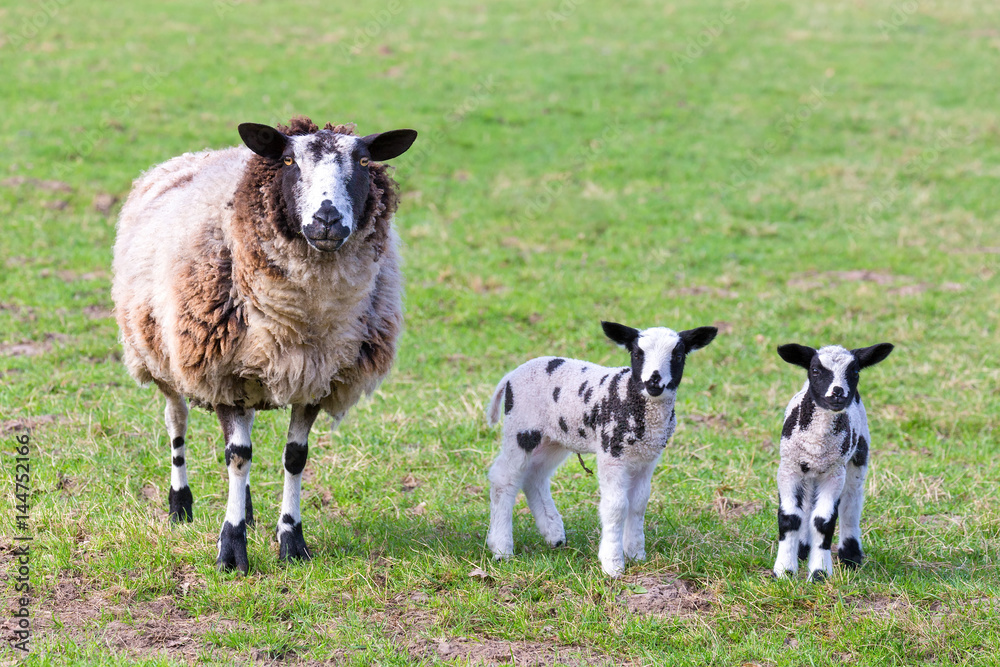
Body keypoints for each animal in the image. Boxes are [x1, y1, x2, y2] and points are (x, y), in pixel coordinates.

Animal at [111, 116, 417, 573]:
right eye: (289, 160)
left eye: (363, 161)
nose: (326, 219)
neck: (304, 319)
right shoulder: (221, 373)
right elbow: (238, 455)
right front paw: (231, 549)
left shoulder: (315, 378)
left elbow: (294, 458)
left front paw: (291, 541)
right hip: (160, 354)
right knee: (177, 424)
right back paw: (180, 505)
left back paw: (250, 509)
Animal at [485, 321, 718, 577]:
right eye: (637, 354)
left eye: (678, 355)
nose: (653, 384)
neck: (632, 399)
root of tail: (510, 376)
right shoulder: (611, 453)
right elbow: (616, 506)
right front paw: (612, 563)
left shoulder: (647, 459)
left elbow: (638, 504)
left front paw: (636, 553)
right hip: (522, 429)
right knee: (504, 478)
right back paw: (501, 548)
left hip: (554, 438)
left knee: (534, 476)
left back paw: (554, 535)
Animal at [772, 342, 894, 581]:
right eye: (815, 370)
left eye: (855, 372)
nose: (838, 393)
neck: (817, 444)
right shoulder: (789, 468)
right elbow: (790, 517)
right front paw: (784, 571)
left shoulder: (834, 473)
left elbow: (824, 521)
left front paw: (819, 573)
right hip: (809, 472)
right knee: (808, 502)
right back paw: (802, 549)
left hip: (858, 454)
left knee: (851, 502)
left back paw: (850, 555)